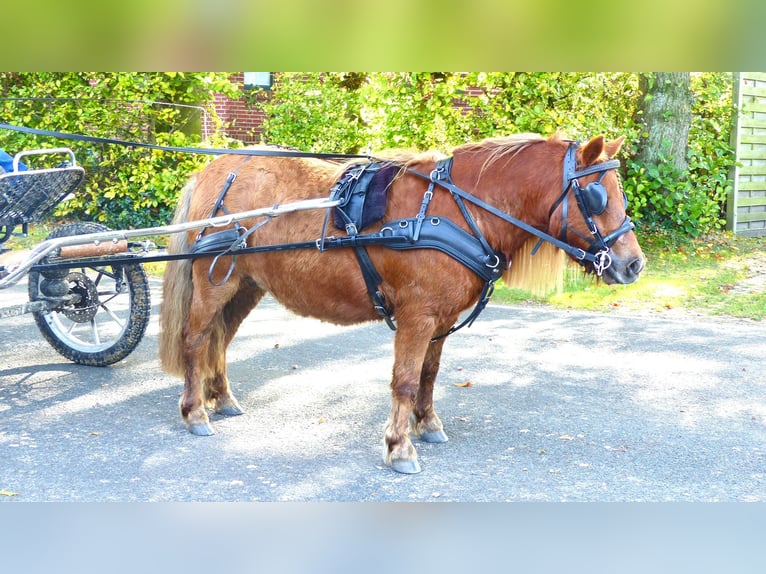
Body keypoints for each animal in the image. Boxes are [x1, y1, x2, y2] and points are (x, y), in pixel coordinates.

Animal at [159, 133, 644, 474]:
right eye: (597, 196)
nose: (634, 264)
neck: (458, 209)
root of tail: (214, 170)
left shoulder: (441, 318)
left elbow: (429, 374)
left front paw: (426, 424)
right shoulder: (417, 315)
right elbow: (406, 381)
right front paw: (399, 447)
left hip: (245, 285)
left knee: (219, 341)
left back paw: (222, 398)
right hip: (214, 282)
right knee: (196, 338)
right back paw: (194, 411)